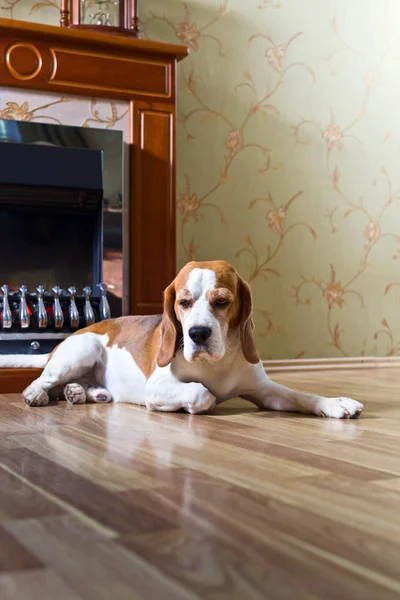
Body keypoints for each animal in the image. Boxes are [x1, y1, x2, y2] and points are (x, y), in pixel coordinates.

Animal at [0, 260, 362, 420]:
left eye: (222, 301)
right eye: (183, 303)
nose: (197, 334)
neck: (219, 364)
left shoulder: (265, 391)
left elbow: (301, 395)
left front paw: (334, 403)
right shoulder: (158, 386)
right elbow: (202, 394)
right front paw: (199, 401)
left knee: (79, 388)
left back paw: (81, 392)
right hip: (85, 348)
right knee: (43, 380)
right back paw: (38, 394)